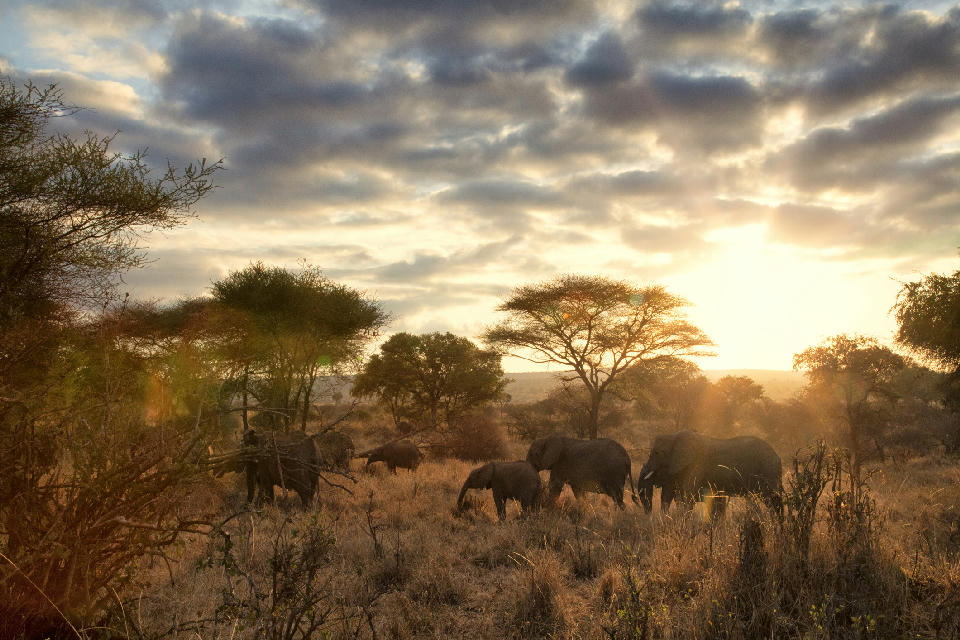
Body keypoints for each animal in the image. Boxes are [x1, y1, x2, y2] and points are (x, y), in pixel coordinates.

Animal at [637, 430, 782, 515]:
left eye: (656, 453)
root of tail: (777, 456)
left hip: (767, 471)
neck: (675, 436)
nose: (648, 514)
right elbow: (670, 496)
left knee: (773, 500)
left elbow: (687, 497)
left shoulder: (696, 466)